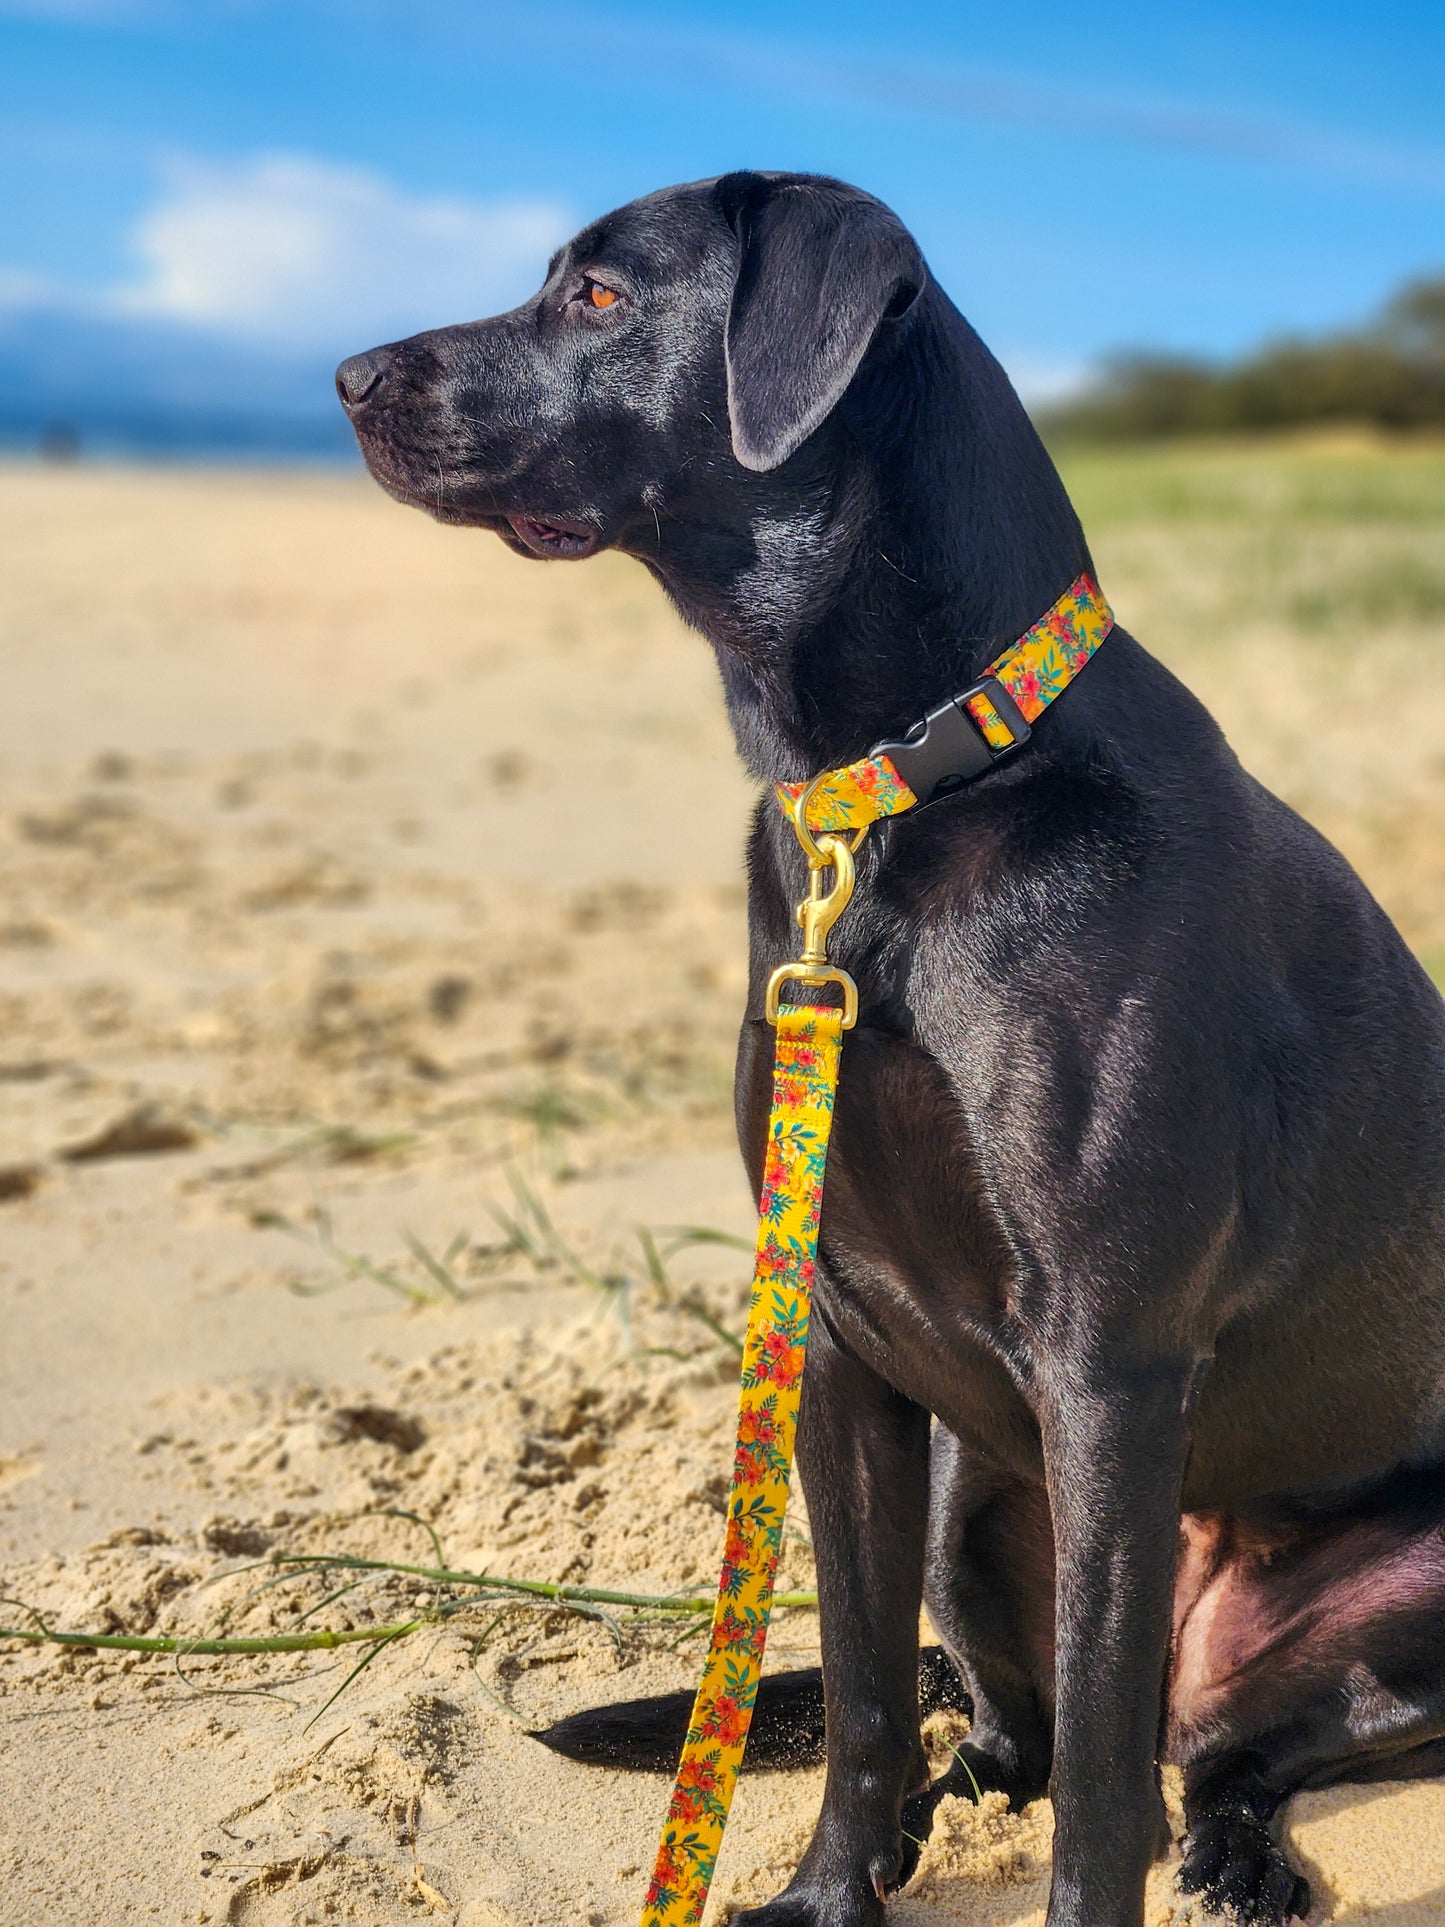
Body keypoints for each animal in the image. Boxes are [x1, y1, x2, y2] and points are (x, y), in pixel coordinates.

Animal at [342, 173, 1445, 1919]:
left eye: (598, 294)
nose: (345, 377)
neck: (896, 789)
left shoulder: (1108, 1363)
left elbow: (1101, 1800)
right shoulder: (838, 1341)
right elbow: (862, 1687)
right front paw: (828, 1889)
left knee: (1212, 1751)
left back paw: (1238, 1850)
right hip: (962, 1503)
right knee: (1026, 1727)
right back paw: (973, 1790)